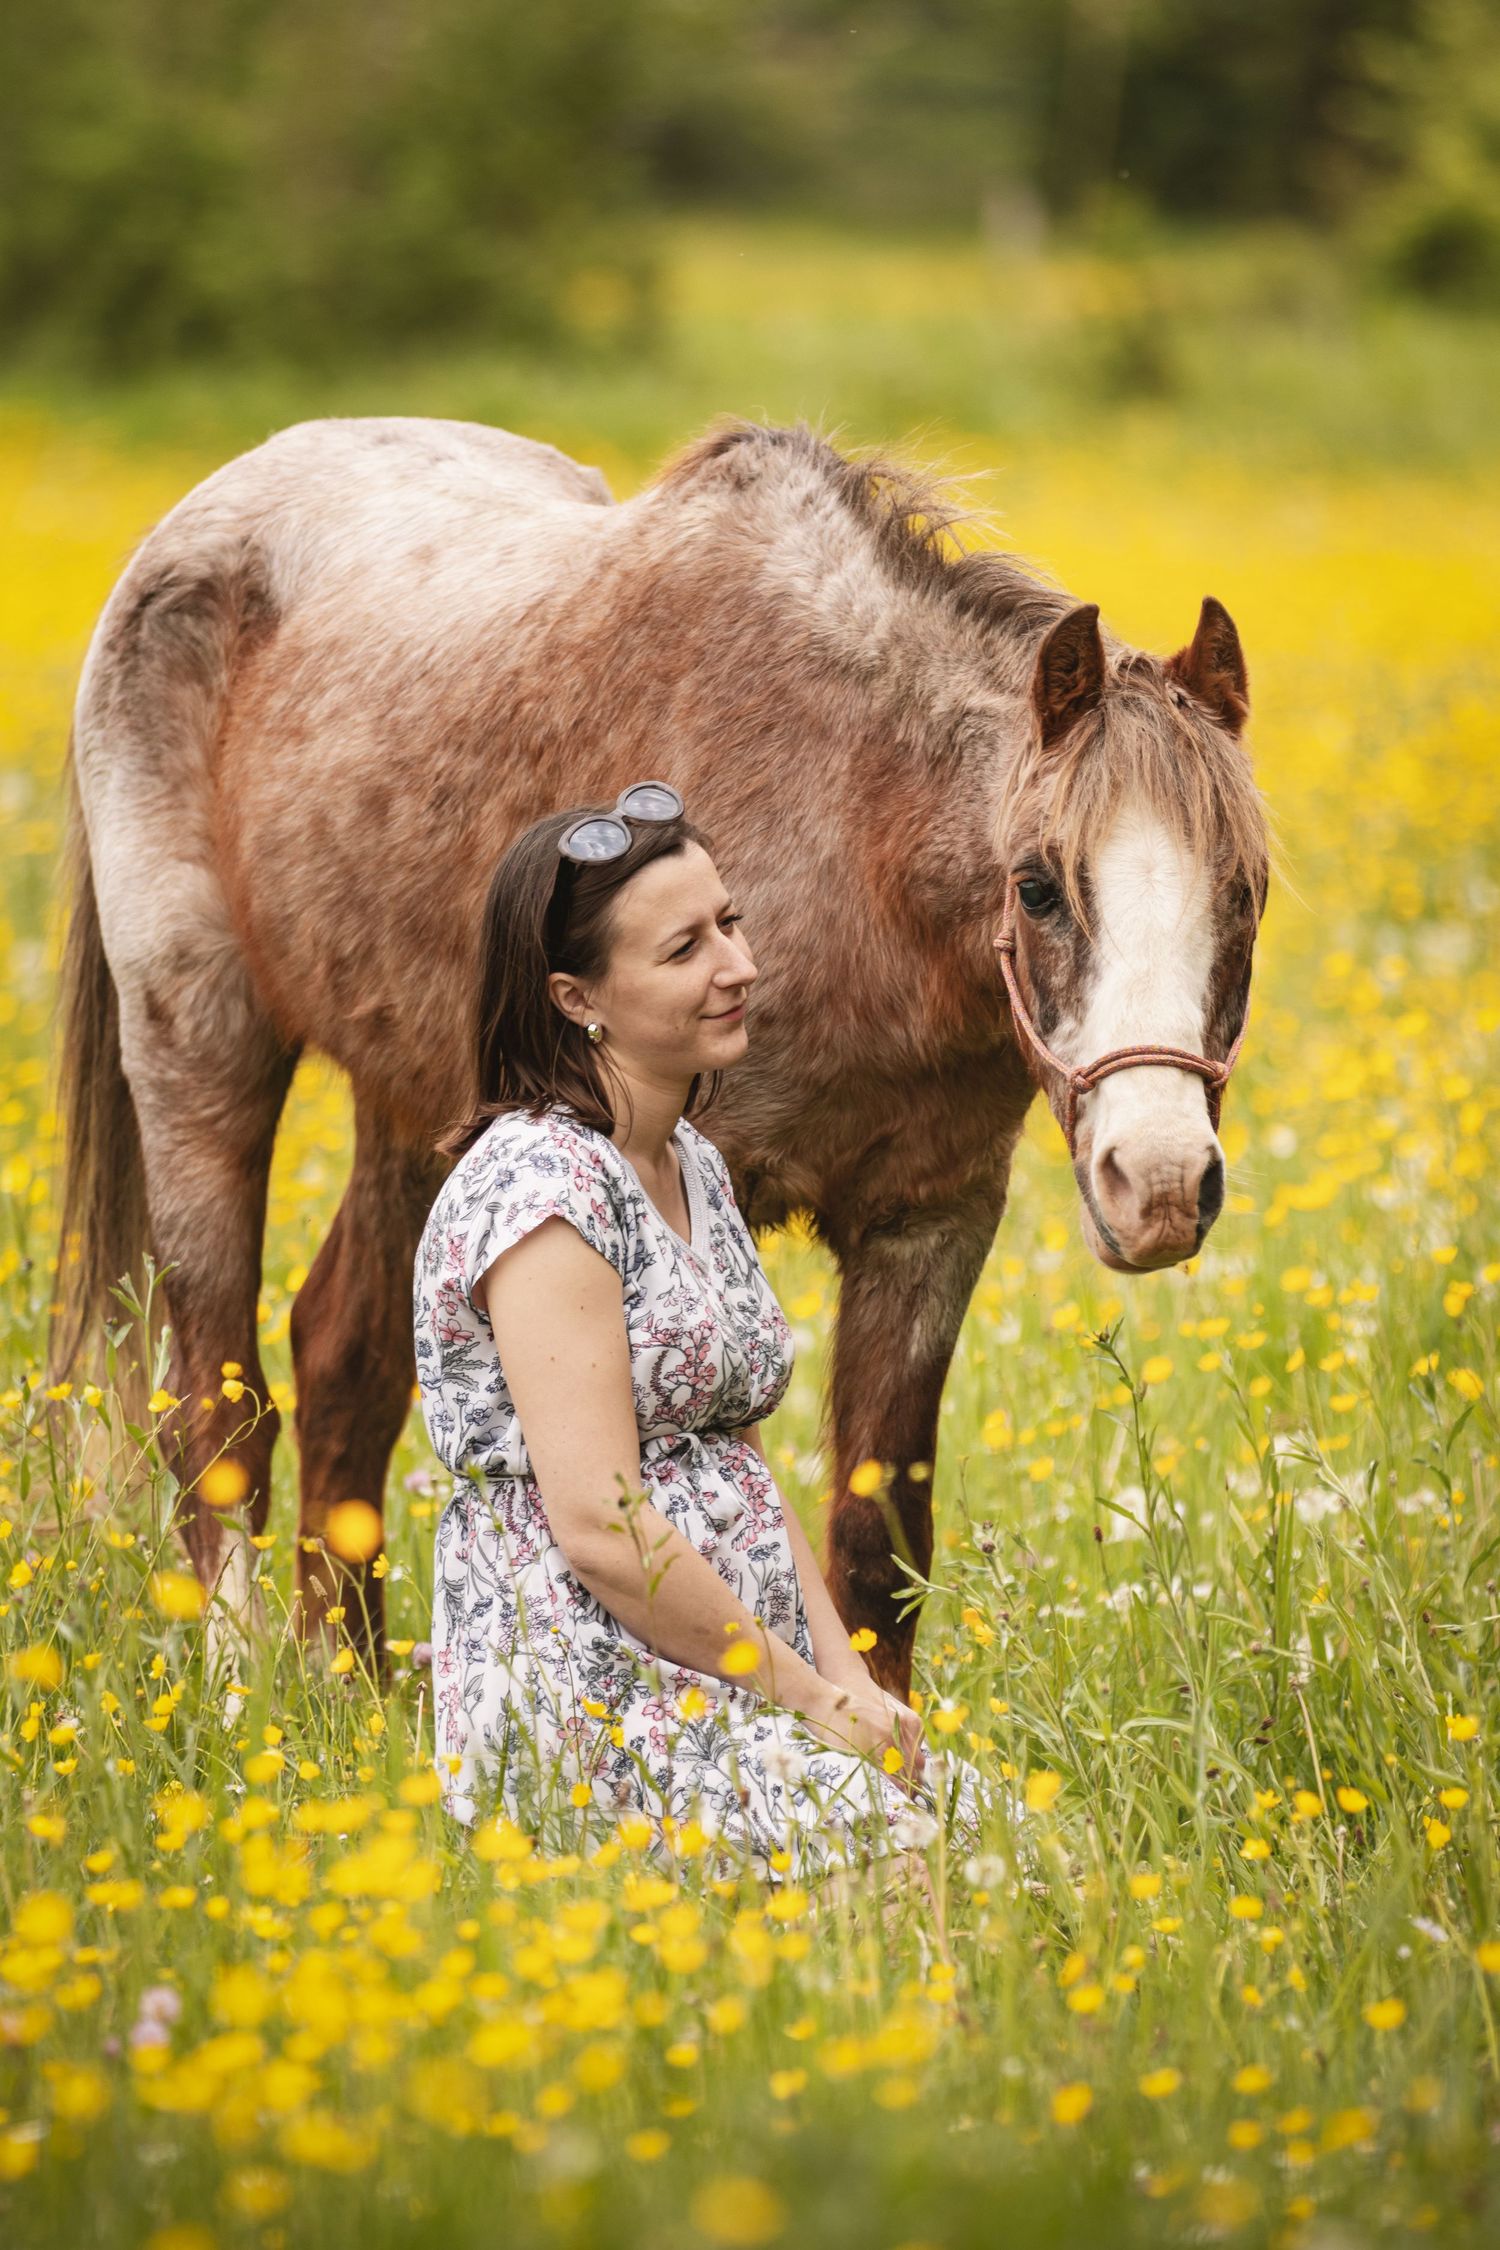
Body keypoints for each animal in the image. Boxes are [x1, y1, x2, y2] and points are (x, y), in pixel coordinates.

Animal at [53, 415, 1269, 1699]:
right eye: (1036, 887)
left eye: (1244, 891)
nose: (1163, 1183)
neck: (852, 818)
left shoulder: (931, 1223)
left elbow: (876, 1541)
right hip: (200, 1049)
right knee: (212, 1402)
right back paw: (246, 1688)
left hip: (423, 1109)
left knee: (345, 1361)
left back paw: (356, 1688)